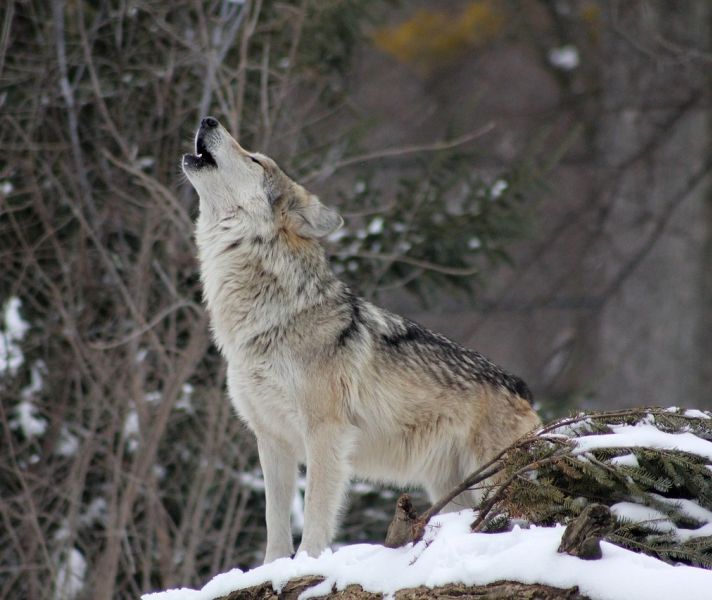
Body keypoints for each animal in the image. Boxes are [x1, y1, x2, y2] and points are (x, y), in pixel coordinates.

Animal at [182, 116, 541, 563]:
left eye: (255, 160)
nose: (208, 119)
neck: (269, 318)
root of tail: (522, 388)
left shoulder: (326, 434)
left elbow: (315, 513)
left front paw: (307, 564)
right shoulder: (272, 439)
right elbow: (274, 523)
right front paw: (272, 569)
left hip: (491, 482)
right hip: (451, 490)